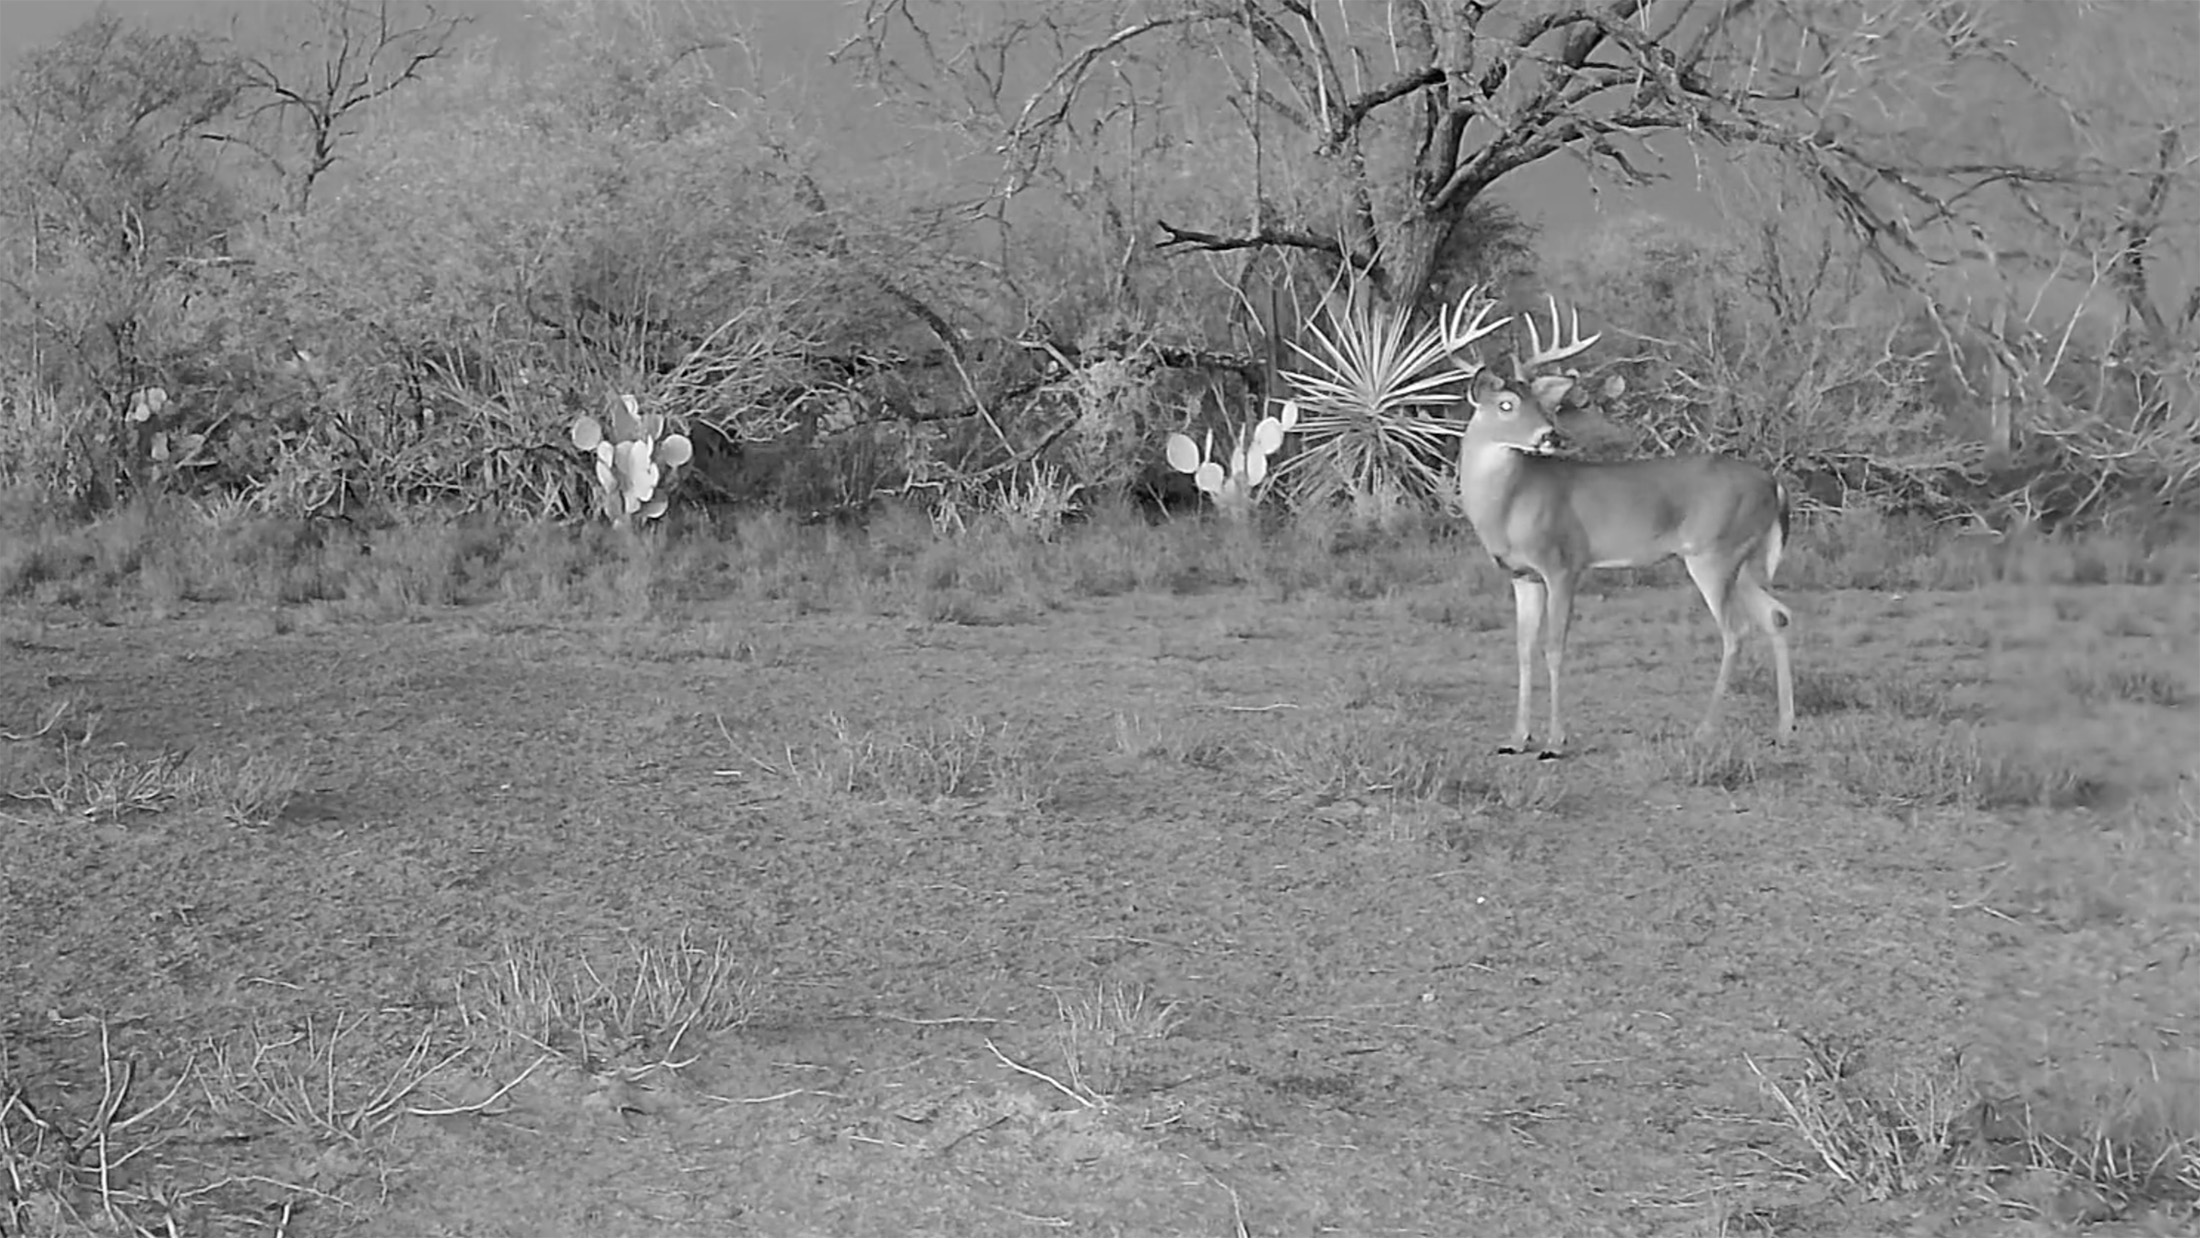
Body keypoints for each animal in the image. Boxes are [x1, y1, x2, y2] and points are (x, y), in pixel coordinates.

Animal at [1451, 298, 1796, 758]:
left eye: (1542, 406)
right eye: (1506, 404)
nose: (1550, 436)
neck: (1509, 506)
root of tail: (1773, 483)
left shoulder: (1563, 564)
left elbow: (1554, 648)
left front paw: (1555, 741)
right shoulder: (1523, 576)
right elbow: (1523, 650)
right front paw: (1515, 739)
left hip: (1714, 553)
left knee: (1735, 631)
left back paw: (1704, 731)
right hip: (1744, 559)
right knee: (1777, 616)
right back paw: (1784, 729)